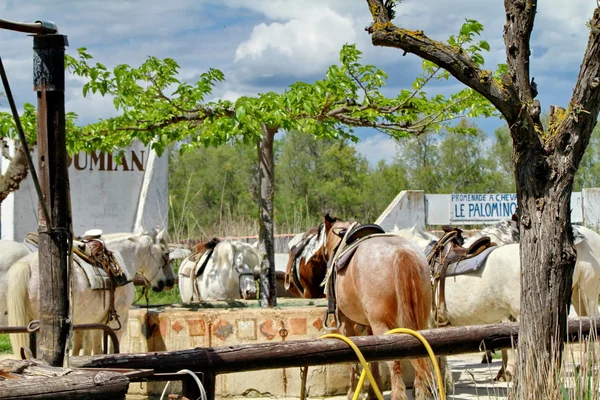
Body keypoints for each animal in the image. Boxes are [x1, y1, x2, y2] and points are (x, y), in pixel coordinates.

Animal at [7, 228, 172, 356]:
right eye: (165, 254)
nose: (170, 281)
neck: (121, 257)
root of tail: (25, 265)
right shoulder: (119, 318)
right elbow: (109, 349)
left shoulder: (94, 321)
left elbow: (92, 349)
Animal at [324, 216, 436, 400]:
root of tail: (399, 252)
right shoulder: (369, 325)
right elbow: (373, 358)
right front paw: (372, 392)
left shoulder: (345, 323)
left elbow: (354, 361)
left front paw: (353, 392)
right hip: (421, 320)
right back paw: (422, 392)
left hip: (381, 324)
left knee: (394, 363)